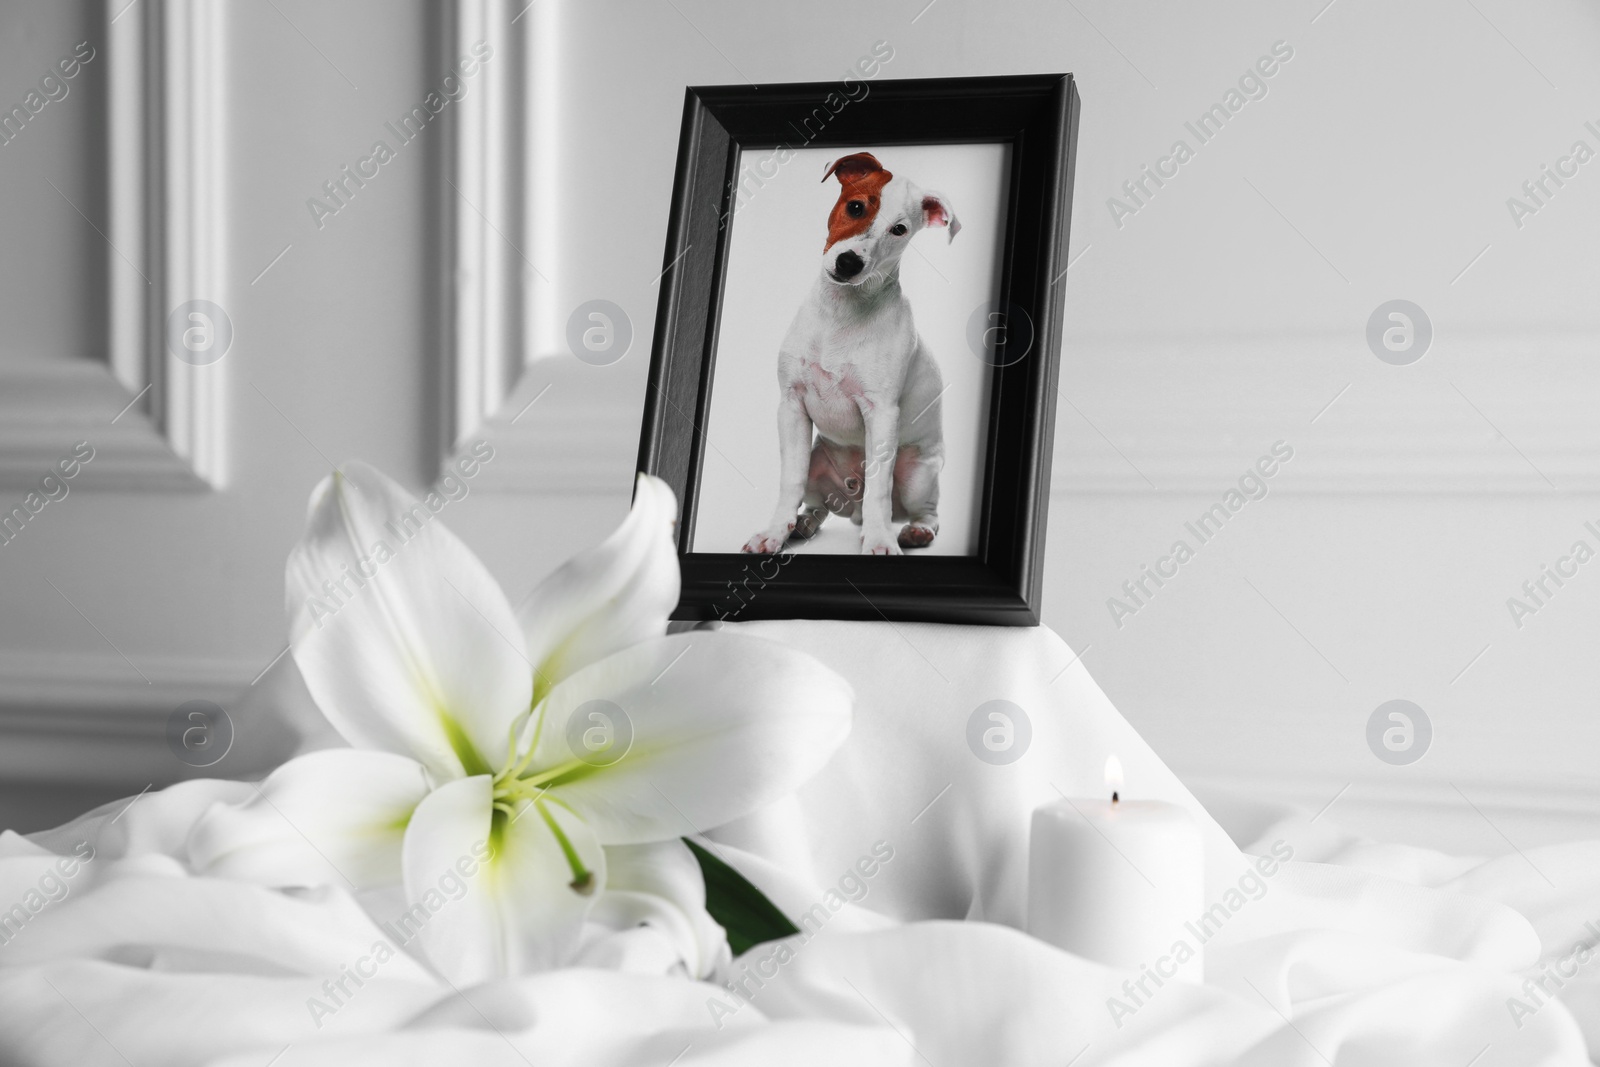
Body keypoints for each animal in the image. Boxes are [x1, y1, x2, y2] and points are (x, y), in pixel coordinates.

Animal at [739, 153, 953, 556]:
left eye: (899, 230)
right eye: (855, 207)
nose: (849, 262)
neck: (841, 314)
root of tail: (851, 508)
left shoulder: (882, 413)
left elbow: (880, 491)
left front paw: (881, 541)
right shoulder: (791, 406)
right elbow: (789, 482)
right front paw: (774, 533)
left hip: (917, 474)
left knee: (926, 510)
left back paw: (914, 531)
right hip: (817, 464)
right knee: (818, 505)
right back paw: (802, 524)